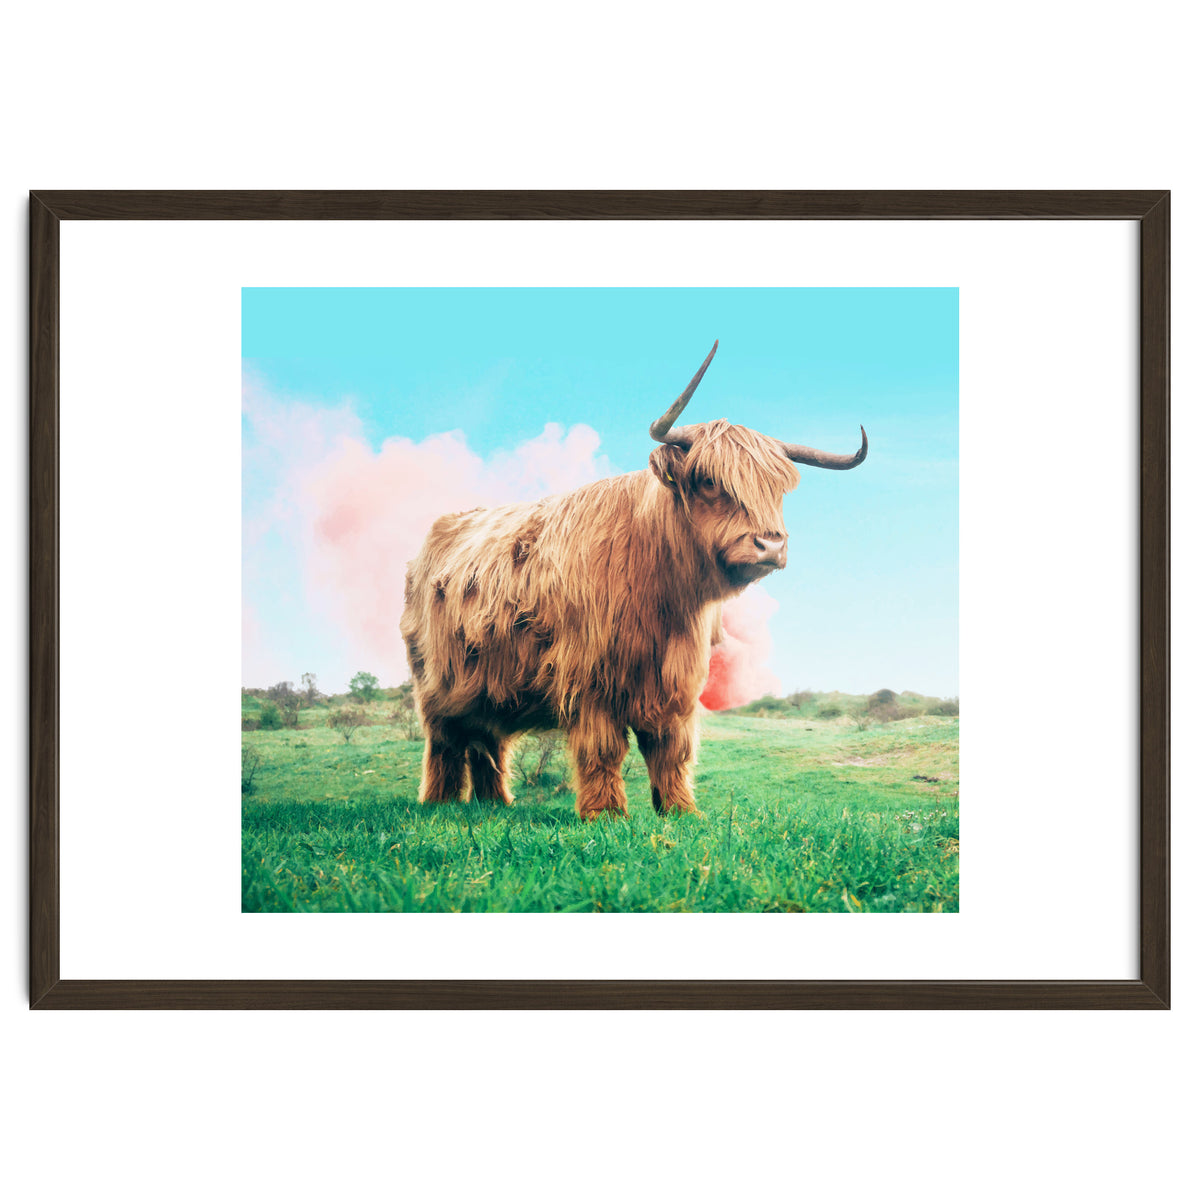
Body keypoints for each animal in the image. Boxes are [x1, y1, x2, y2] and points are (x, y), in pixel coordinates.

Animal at [400, 342, 867, 819]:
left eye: (777, 489)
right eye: (709, 481)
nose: (770, 545)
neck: (662, 594)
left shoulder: (676, 681)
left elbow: (671, 749)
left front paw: (680, 810)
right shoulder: (590, 677)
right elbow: (603, 748)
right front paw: (605, 814)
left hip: (487, 685)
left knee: (487, 740)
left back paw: (495, 803)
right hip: (436, 684)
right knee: (445, 741)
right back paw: (440, 802)